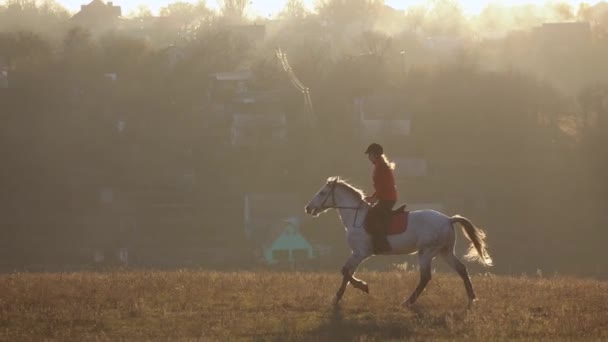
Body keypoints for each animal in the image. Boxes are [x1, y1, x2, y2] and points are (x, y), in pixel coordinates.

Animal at [304, 178, 494, 306]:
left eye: (322, 193)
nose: (308, 208)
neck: (355, 217)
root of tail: (448, 219)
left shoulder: (361, 253)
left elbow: (345, 271)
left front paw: (362, 286)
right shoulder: (357, 254)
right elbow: (346, 273)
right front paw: (337, 297)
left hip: (426, 252)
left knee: (425, 277)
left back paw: (408, 301)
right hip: (444, 252)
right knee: (461, 269)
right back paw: (471, 297)